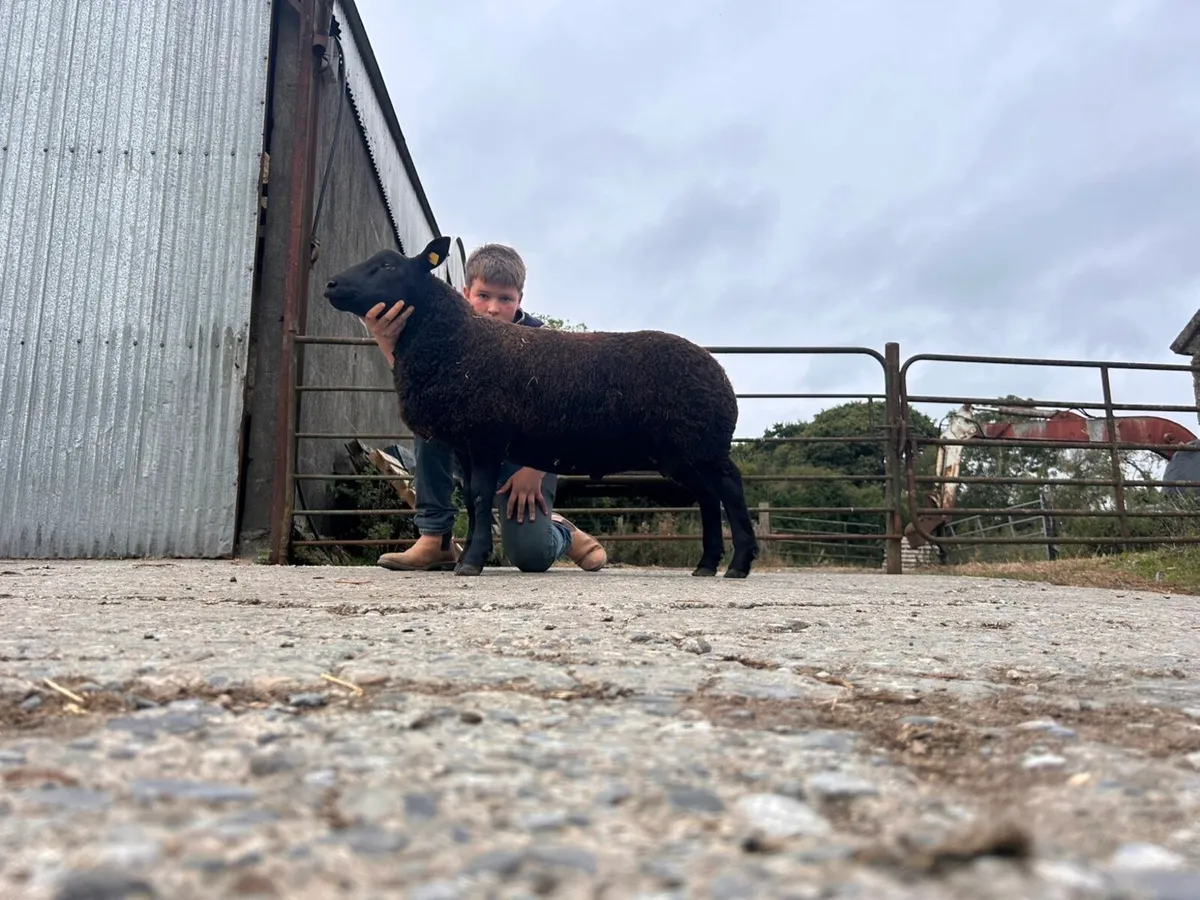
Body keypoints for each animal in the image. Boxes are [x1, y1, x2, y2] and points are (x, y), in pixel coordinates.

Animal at [323, 236, 760, 578]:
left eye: (387, 265)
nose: (330, 283)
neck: (455, 339)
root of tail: (720, 374)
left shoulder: (486, 437)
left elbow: (480, 497)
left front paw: (472, 562)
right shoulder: (465, 444)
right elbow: (472, 501)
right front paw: (467, 557)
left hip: (702, 444)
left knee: (730, 489)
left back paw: (738, 565)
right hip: (680, 453)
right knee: (708, 498)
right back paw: (706, 564)